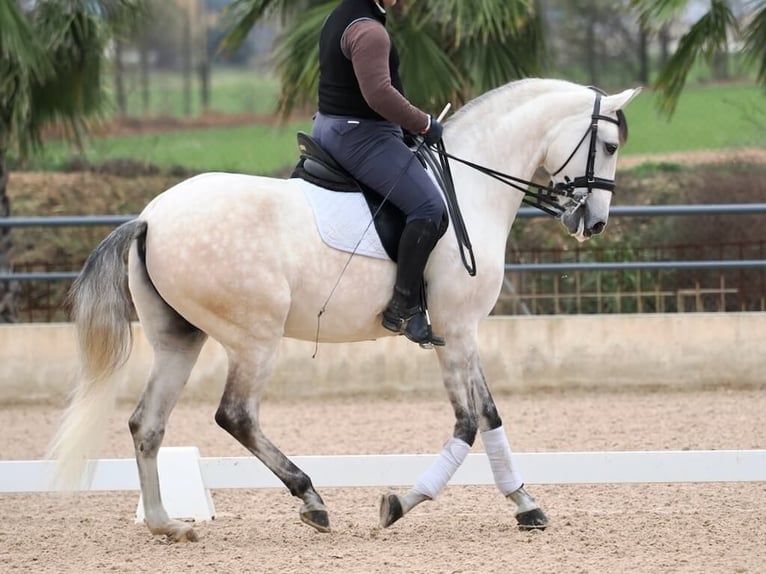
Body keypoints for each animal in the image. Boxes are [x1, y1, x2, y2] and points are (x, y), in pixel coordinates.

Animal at [49, 79, 640, 544]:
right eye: (609, 145)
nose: (593, 223)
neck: (470, 189)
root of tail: (149, 217)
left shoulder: (464, 332)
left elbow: (491, 416)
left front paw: (525, 503)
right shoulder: (456, 330)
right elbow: (468, 422)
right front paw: (401, 503)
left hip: (180, 339)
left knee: (147, 424)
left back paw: (165, 523)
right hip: (255, 339)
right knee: (235, 416)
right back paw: (310, 499)